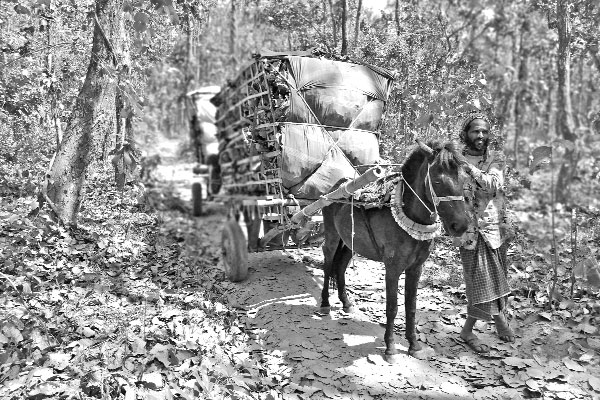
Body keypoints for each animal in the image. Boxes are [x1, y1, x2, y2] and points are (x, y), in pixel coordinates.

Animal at [322, 141, 472, 362]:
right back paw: (324, 304)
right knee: (327, 264)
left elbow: (411, 306)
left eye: (462, 180)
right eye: (436, 181)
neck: (408, 214)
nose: (460, 225)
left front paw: (414, 345)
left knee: (339, 267)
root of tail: (336, 187)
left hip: (350, 242)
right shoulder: (392, 268)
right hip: (332, 236)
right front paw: (390, 348)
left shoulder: (416, 268)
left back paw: (346, 303)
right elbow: (392, 307)